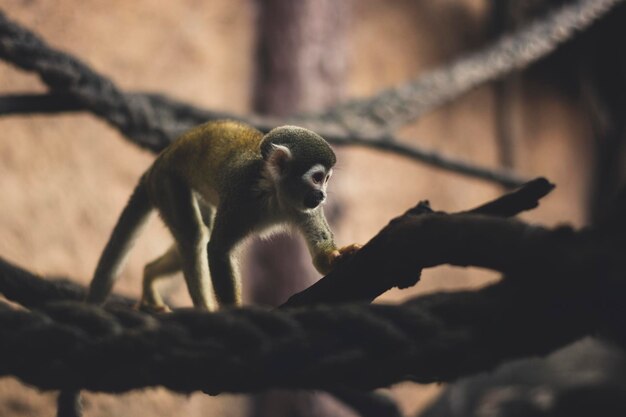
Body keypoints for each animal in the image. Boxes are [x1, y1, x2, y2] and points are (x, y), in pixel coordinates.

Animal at [86, 119, 358, 308]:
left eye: (326, 180)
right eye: (317, 178)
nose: (322, 195)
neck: (275, 192)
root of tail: (159, 161)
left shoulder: (305, 207)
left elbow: (319, 260)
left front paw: (334, 258)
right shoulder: (241, 196)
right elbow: (218, 250)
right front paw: (233, 312)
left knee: (199, 232)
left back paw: (149, 274)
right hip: (167, 181)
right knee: (194, 236)